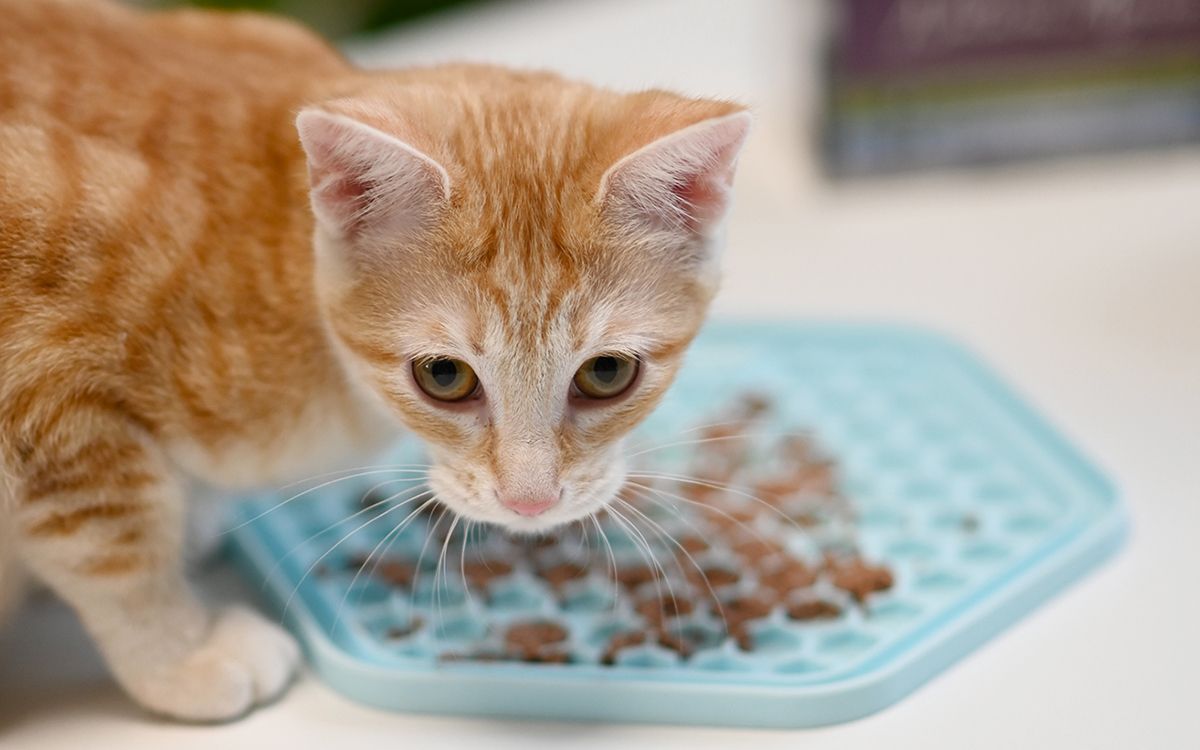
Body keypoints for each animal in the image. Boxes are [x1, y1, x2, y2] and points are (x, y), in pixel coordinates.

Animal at [0, 0, 748, 720]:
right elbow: (114, 543)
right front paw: (181, 655)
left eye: (606, 373)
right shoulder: (41, 386)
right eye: (444, 376)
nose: (530, 503)